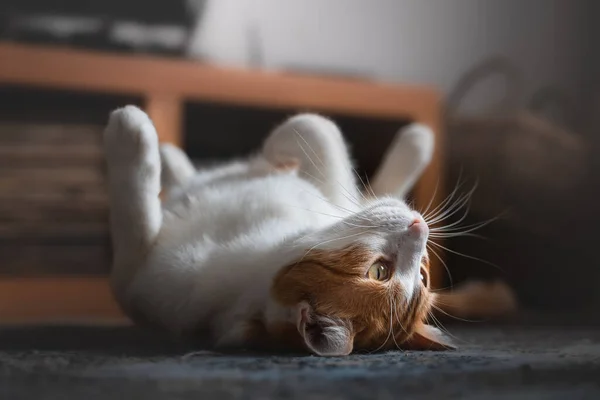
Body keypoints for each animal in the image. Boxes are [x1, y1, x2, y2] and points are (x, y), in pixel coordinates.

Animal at [103, 106, 510, 356]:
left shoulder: (140, 281)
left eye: (380, 270)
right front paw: (271, 155)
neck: (262, 239)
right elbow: (318, 128)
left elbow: (136, 219)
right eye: (424, 275)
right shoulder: (326, 197)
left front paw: (130, 132)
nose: (419, 227)